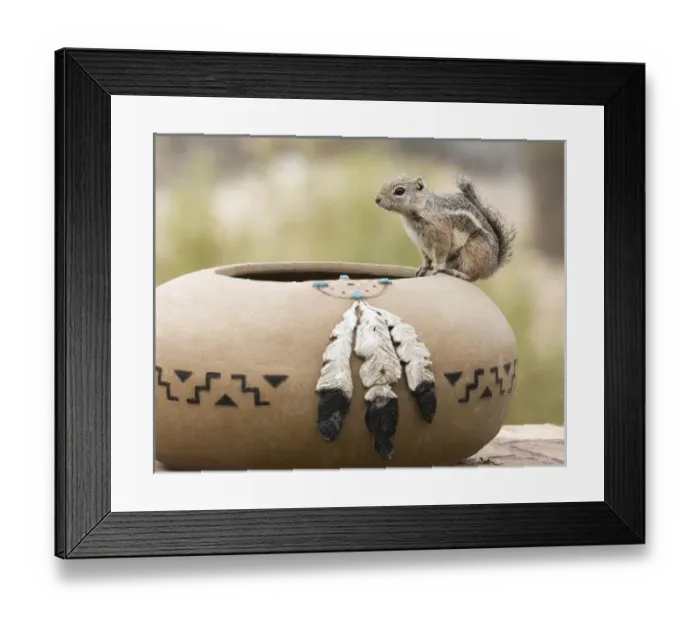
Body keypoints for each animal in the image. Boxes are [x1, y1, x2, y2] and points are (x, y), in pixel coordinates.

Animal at [374, 173, 516, 282]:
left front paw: (436, 268)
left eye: (399, 191)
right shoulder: (421, 241)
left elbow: (440, 252)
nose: (377, 199)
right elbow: (426, 257)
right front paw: (425, 267)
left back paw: (458, 273)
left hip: (474, 250)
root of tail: (492, 267)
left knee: (473, 276)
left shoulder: (441, 233)